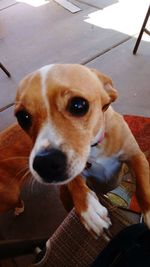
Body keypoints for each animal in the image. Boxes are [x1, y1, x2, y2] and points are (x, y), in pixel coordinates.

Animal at [0, 63, 149, 238]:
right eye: (23, 117)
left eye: (78, 105)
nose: (45, 164)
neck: (93, 146)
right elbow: (75, 182)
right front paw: (88, 209)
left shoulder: (135, 155)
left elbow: (143, 186)